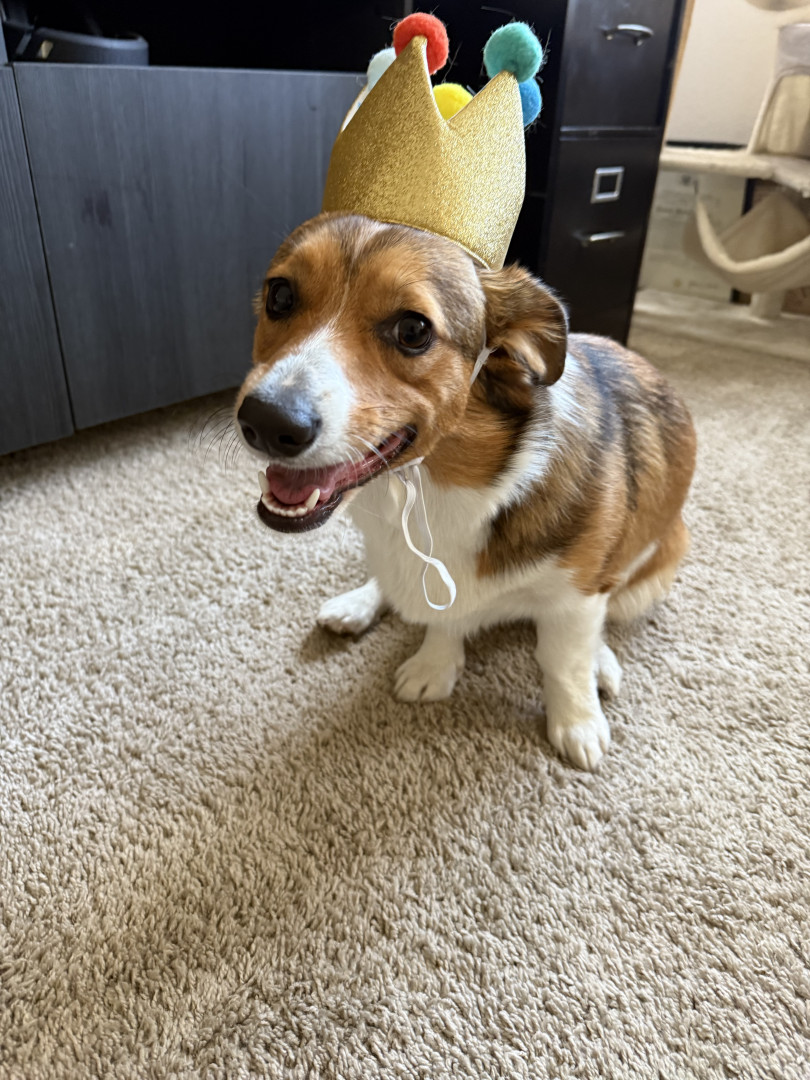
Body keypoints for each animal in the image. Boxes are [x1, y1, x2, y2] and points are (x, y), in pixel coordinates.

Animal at [235, 213, 696, 770]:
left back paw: (601, 664)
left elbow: (563, 660)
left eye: (413, 330)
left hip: (653, 568)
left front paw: (577, 723)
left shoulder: (578, 595)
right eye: (280, 296)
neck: (433, 489)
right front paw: (434, 666)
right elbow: (442, 618)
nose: (266, 422)